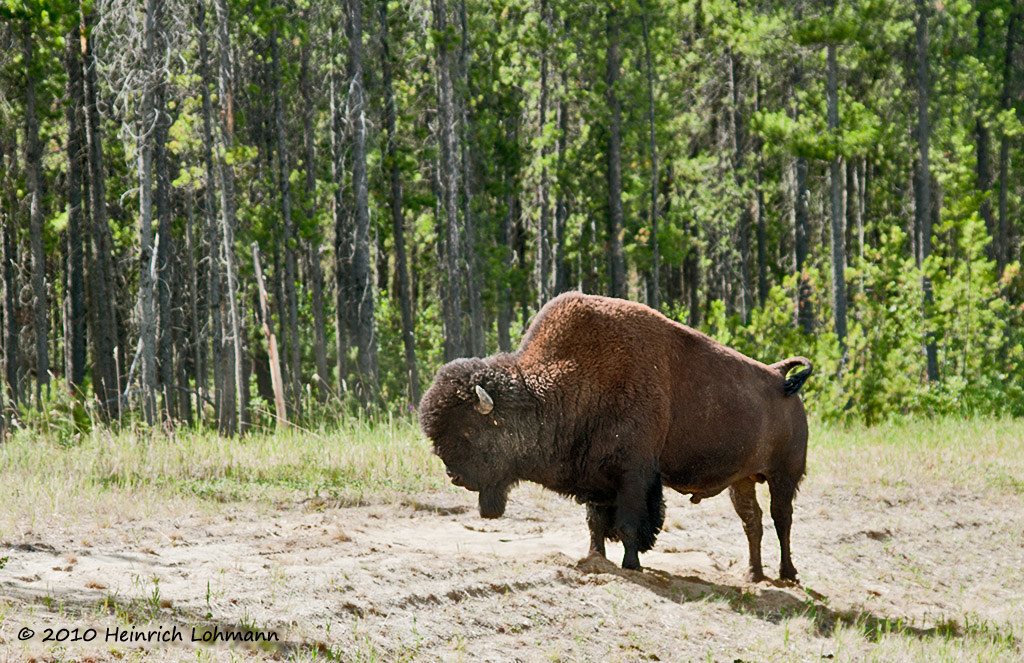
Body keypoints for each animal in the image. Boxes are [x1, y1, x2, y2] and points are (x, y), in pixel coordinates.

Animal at [419, 291, 811, 582]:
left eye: (470, 430)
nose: (454, 475)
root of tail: (779, 378)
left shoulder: (634, 477)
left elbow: (628, 523)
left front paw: (631, 565)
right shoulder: (596, 478)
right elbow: (596, 523)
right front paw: (596, 556)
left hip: (784, 475)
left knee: (782, 518)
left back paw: (788, 573)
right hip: (741, 480)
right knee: (752, 521)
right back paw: (753, 575)